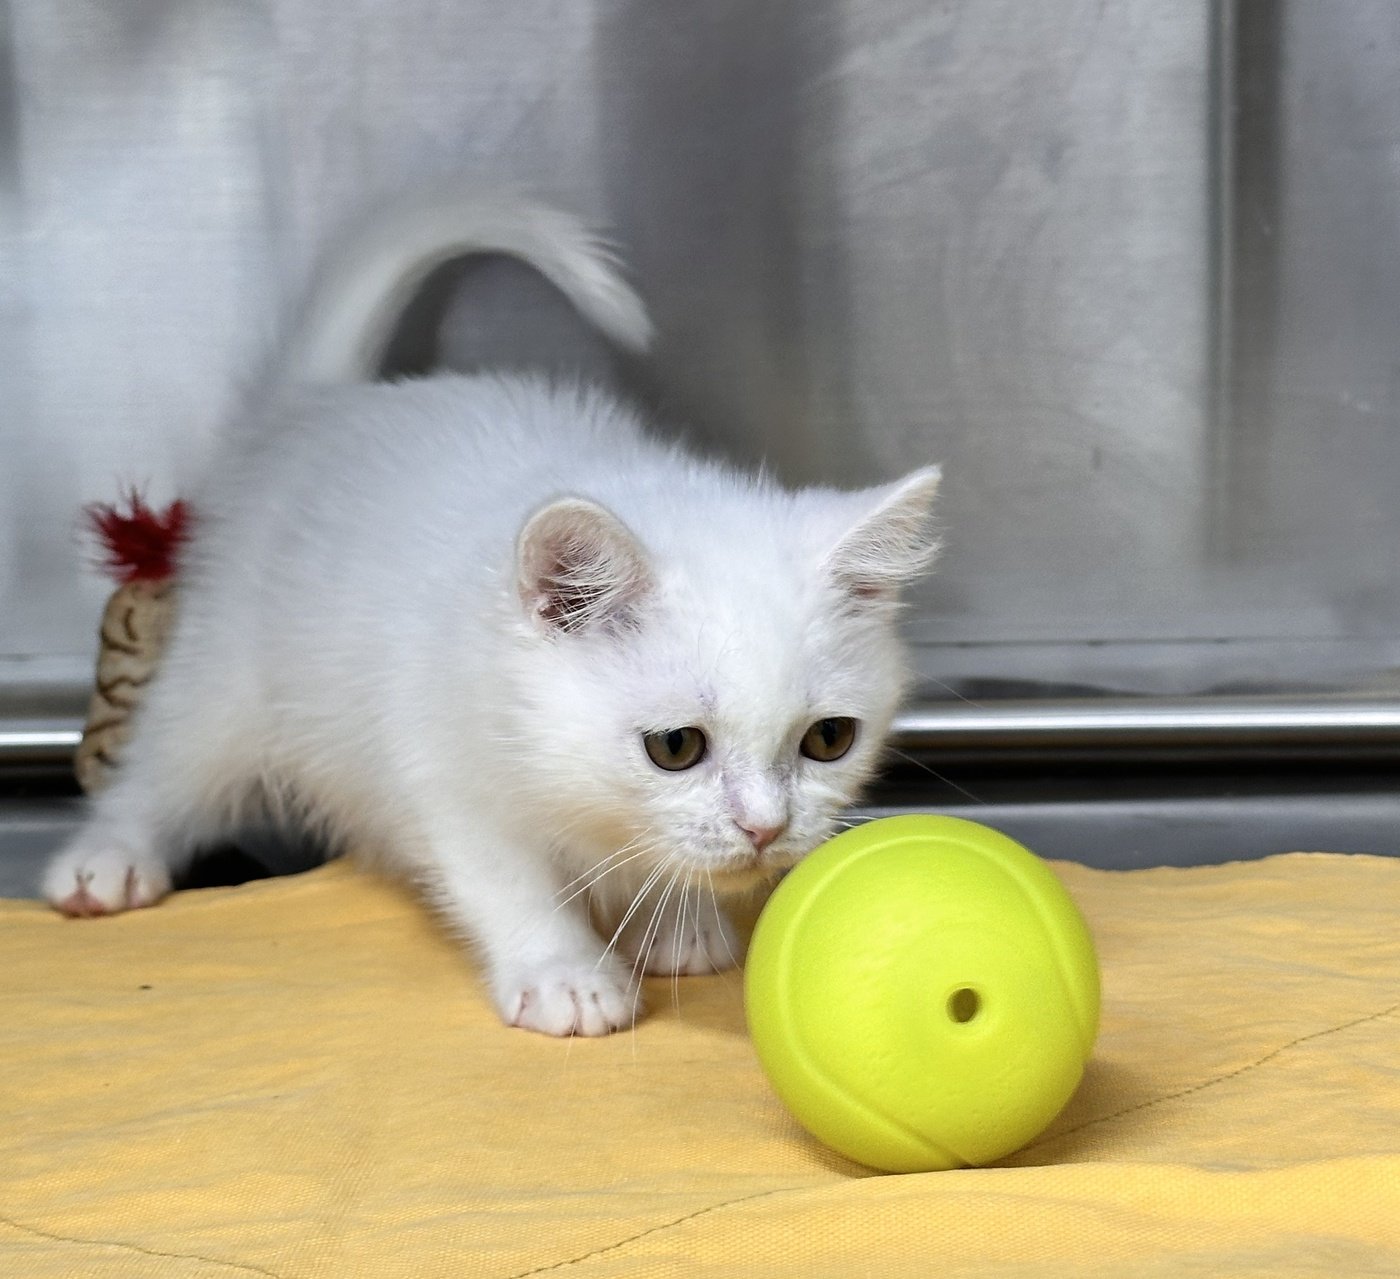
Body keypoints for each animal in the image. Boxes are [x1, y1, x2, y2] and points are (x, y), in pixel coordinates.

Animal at [43, 191, 940, 1035]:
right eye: (675, 747)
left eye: (830, 739)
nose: (765, 829)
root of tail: (321, 408)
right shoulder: (437, 761)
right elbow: (502, 875)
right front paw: (564, 972)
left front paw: (677, 920)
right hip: (232, 664)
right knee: (172, 759)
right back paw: (106, 858)